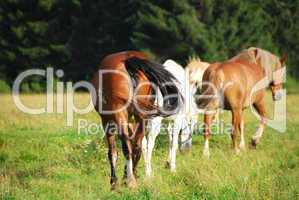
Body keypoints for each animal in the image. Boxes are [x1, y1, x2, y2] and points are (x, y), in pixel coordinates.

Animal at [92, 51, 184, 189]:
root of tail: (129, 60)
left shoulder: (107, 122)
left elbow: (113, 152)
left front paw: (114, 182)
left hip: (120, 114)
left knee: (127, 146)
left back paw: (130, 180)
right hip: (141, 116)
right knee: (137, 144)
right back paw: (132, 175)